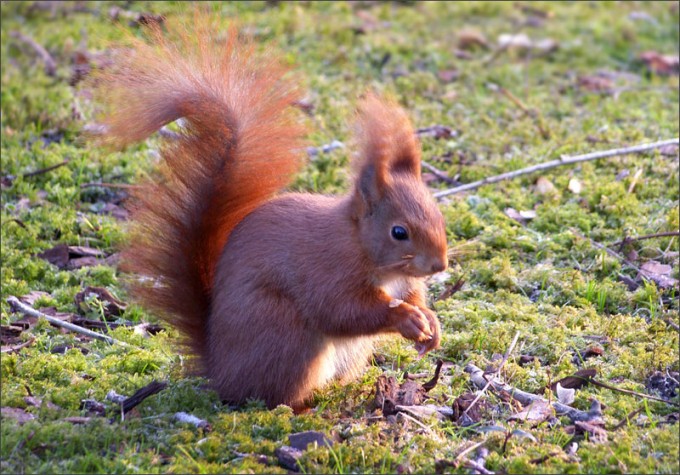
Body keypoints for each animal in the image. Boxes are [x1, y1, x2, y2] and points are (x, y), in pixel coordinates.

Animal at [91, 16, 448, 410]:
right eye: (399, 232)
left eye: (438, 216)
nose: (439, 265)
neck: (364, 248)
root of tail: (219, 369)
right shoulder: (328, 271)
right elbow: (342, 311)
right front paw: (406, 318)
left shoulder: (403, 281)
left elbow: (412, 296)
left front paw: (431, 325)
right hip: (285, 334)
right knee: (272, 395)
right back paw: (301, 407)